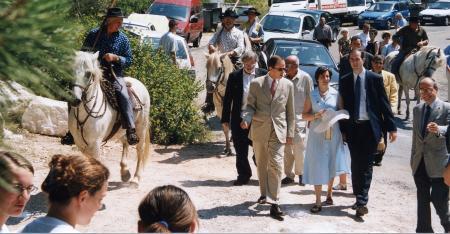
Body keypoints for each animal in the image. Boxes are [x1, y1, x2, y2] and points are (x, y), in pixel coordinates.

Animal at [69, 51, 151, 185]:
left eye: (88, 73)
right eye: (71, 70)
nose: (75, 99)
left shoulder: (95, 144)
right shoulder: (80, 143)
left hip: (141, 127)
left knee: (140, 149)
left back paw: (135, 179)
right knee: (125, 143)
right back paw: (125, 172)